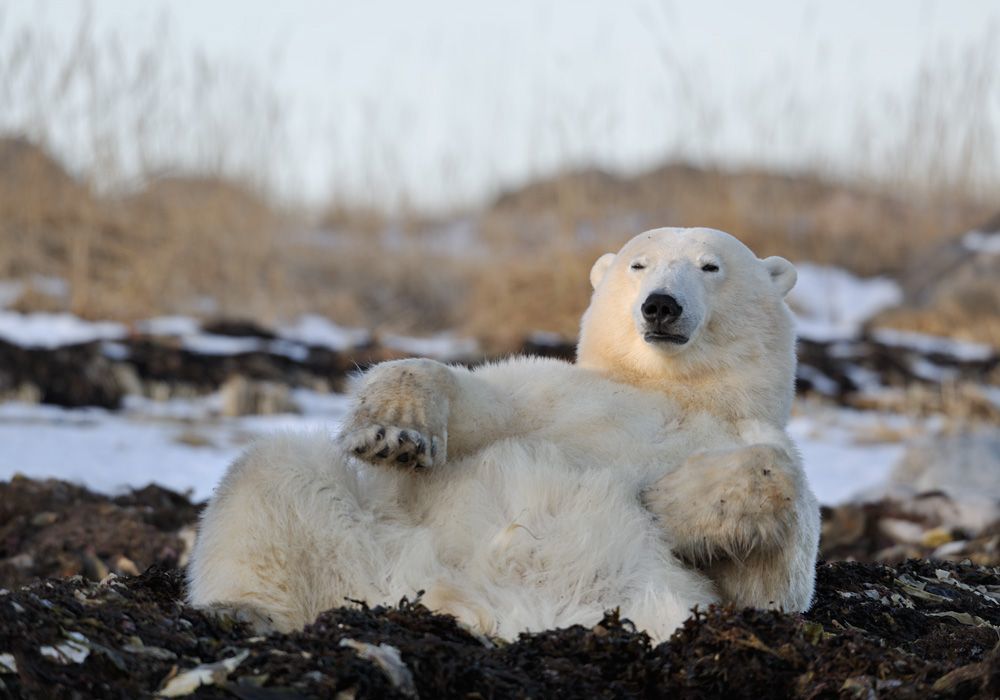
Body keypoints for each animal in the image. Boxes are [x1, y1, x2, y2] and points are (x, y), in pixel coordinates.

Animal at [187, 226, 820, 641]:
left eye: (711, 266)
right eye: (637, 266)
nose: (660, 306)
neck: (671, 390)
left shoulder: (748, 432)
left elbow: (775, 578)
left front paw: (668, 502)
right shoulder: (562, 396)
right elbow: (484, 399)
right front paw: (396, 430)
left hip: (660, 604)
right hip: (370, 547)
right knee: (271, 476)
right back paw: (241, 610)